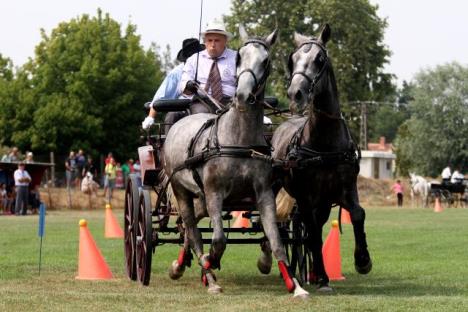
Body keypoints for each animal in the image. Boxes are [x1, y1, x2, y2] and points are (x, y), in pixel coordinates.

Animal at [163, 26, 308, 298]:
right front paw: (210, 262)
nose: (242, 95)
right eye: (240, 57)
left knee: (188, 227)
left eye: (266, 60)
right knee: (192, 231)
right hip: (181, 190)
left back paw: (182, 264)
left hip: (199, 197)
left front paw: (295, 286)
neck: (238, 141)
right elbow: (218, 240)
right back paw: (207, 275)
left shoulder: (264, 194)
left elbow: (275, 240)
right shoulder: (214, 193)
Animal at [266, 23, 372, 290]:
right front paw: (324, 277)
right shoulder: (305, 196)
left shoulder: (346, 187)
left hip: (323, 201)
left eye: (319, 59)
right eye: (292, 60)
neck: (324, 145)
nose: (296, 93)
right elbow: (312, 233)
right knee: (282, 225)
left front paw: (363, 260)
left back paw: (313, 272)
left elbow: (357, 214)